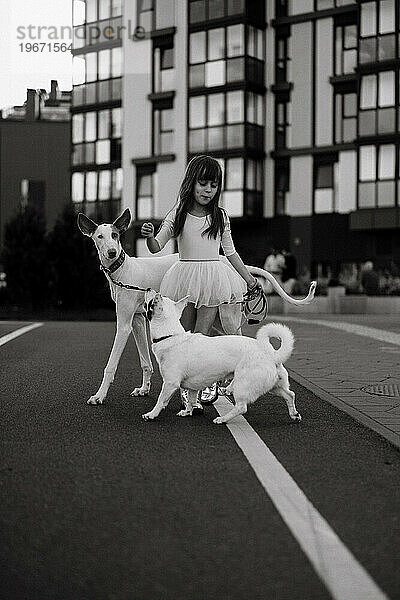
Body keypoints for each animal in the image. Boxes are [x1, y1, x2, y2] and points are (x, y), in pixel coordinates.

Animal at [142, 288, 302, 424]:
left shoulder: (170, 383)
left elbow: (161, 400)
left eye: (151, 302)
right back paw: (294, 414)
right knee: (290, 394)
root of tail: (272, 355)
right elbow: (192, 400)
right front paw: (187, 411)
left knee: (241, 407)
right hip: (274, 386)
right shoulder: (193, 386)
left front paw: (152, 414)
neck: (170, 335)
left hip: (243, 385)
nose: (149, 288)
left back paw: (222, 419)